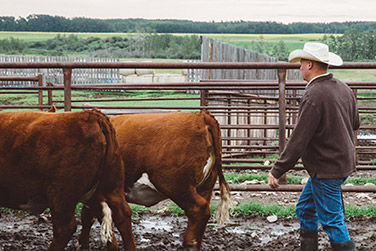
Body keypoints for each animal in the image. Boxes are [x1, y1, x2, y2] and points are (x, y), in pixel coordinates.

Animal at [80, 111, 231, 251]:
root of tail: (201, 115)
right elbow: (87, 217)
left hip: (176, 186)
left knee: (199, 209)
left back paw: (189, 244)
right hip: (205, 186)